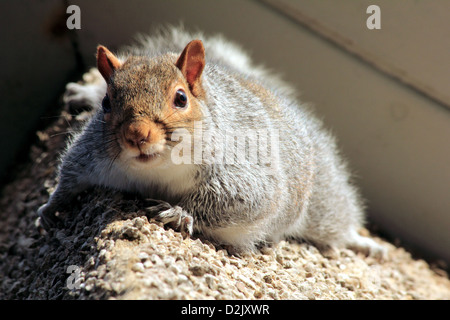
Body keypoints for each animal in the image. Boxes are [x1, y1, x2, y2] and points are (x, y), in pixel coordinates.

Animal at [37, 27, 386, 258]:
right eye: (108, 103)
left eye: (180, 98)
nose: (136, 135)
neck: (155, 172)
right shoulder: (91, 155)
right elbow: (70, 173)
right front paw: (52, 206)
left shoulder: (243, 168)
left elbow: (243, 200)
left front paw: (180, 212)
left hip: (321, 200)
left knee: (334, 220)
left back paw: (362, 241)